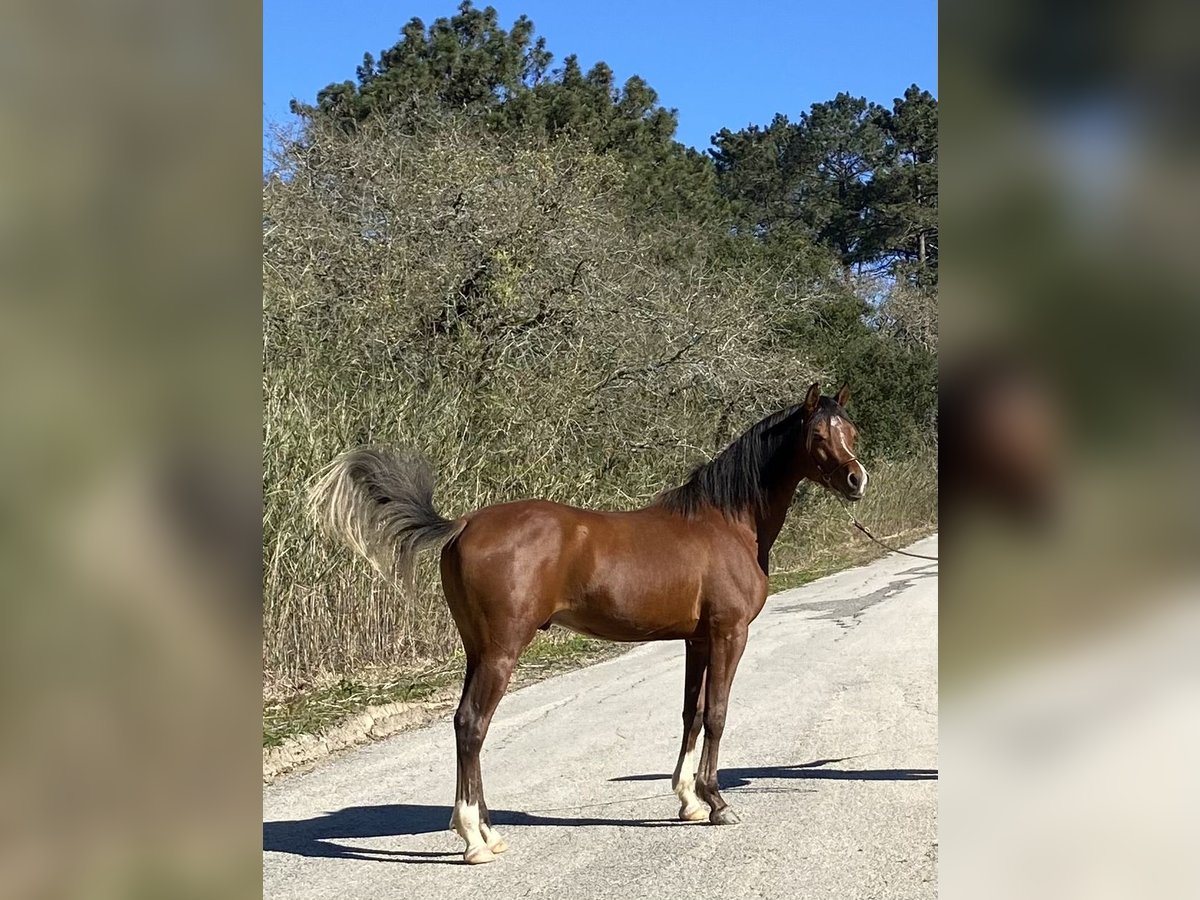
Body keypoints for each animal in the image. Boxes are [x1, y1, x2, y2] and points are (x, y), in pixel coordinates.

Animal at [309, 381, 868, 868]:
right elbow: (717, 715)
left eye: (852, 430)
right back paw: (474, 840)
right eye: (818, 436)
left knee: (466, 727)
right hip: (501, 652)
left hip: (477, 650)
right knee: (472, 725)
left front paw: (688, 800)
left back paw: (488, 830)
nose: (857, 480)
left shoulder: (697, 640)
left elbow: (690, 714)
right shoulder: (729, 634)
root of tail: (464, 524)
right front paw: (718, 803)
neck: (726, 523)